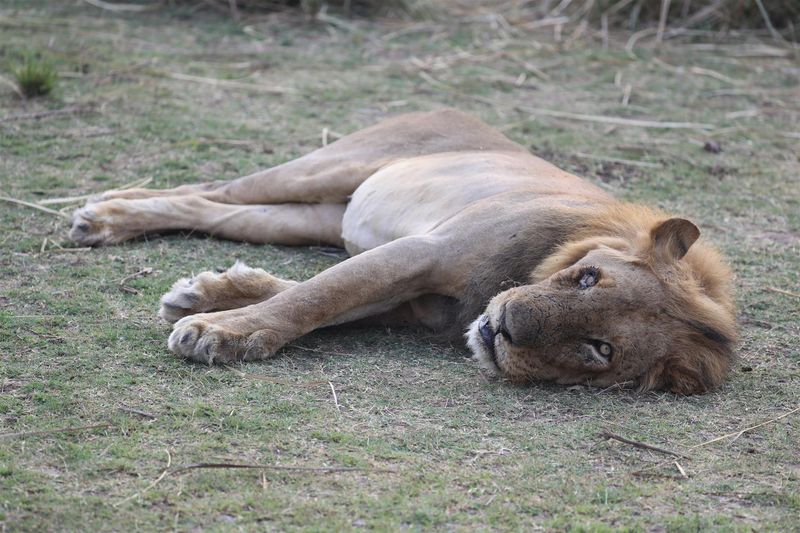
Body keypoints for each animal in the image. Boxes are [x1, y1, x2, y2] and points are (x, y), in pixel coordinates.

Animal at [69, 109, 737, 394]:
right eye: (588, 278)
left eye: (601, 349)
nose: (505, 327)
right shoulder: (422, 250)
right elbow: (318, 295)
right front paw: (218, 330)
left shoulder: (412, 300)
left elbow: (315, 296)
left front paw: (206, 300)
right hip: (329, 167)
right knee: (211, 188)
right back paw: (103, 215)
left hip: (313, 216)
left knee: (217, 211)